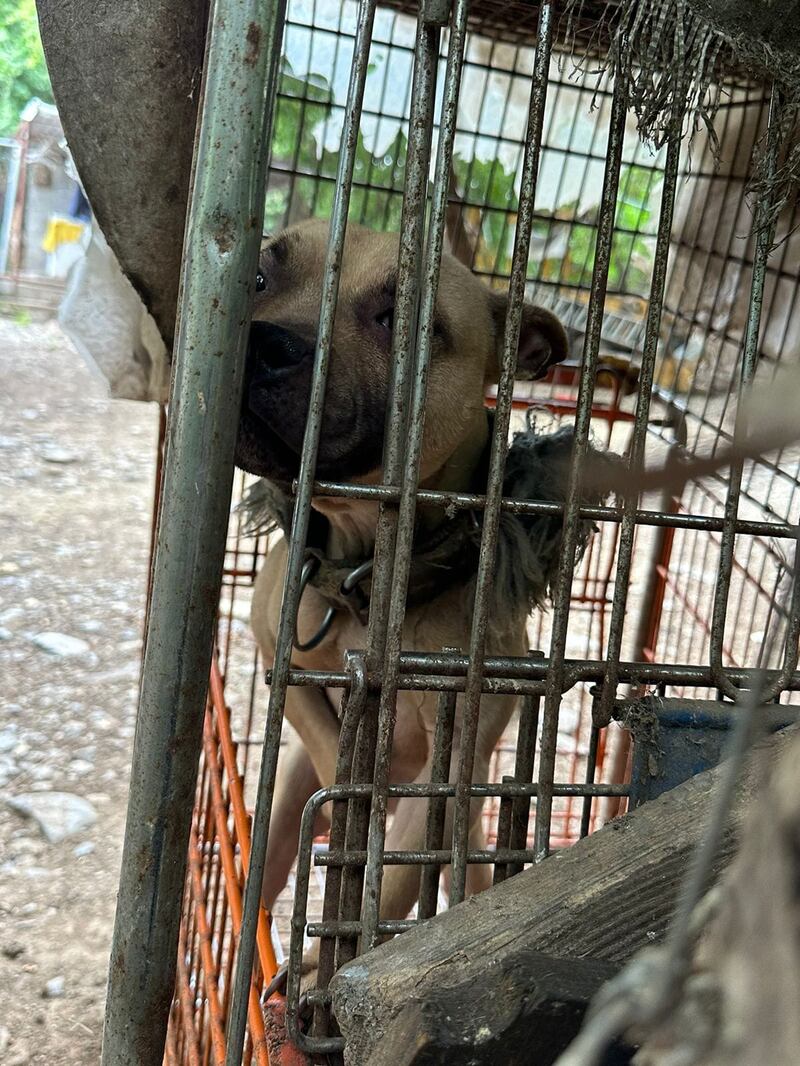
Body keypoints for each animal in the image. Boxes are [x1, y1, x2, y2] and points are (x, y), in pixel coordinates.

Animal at [236, 216, 571, 942]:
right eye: (259, 277)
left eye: (405, 321)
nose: (260, 342)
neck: (374, 565)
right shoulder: (281, 655)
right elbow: (333, 754)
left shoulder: (454, 772)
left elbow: (389, 884)